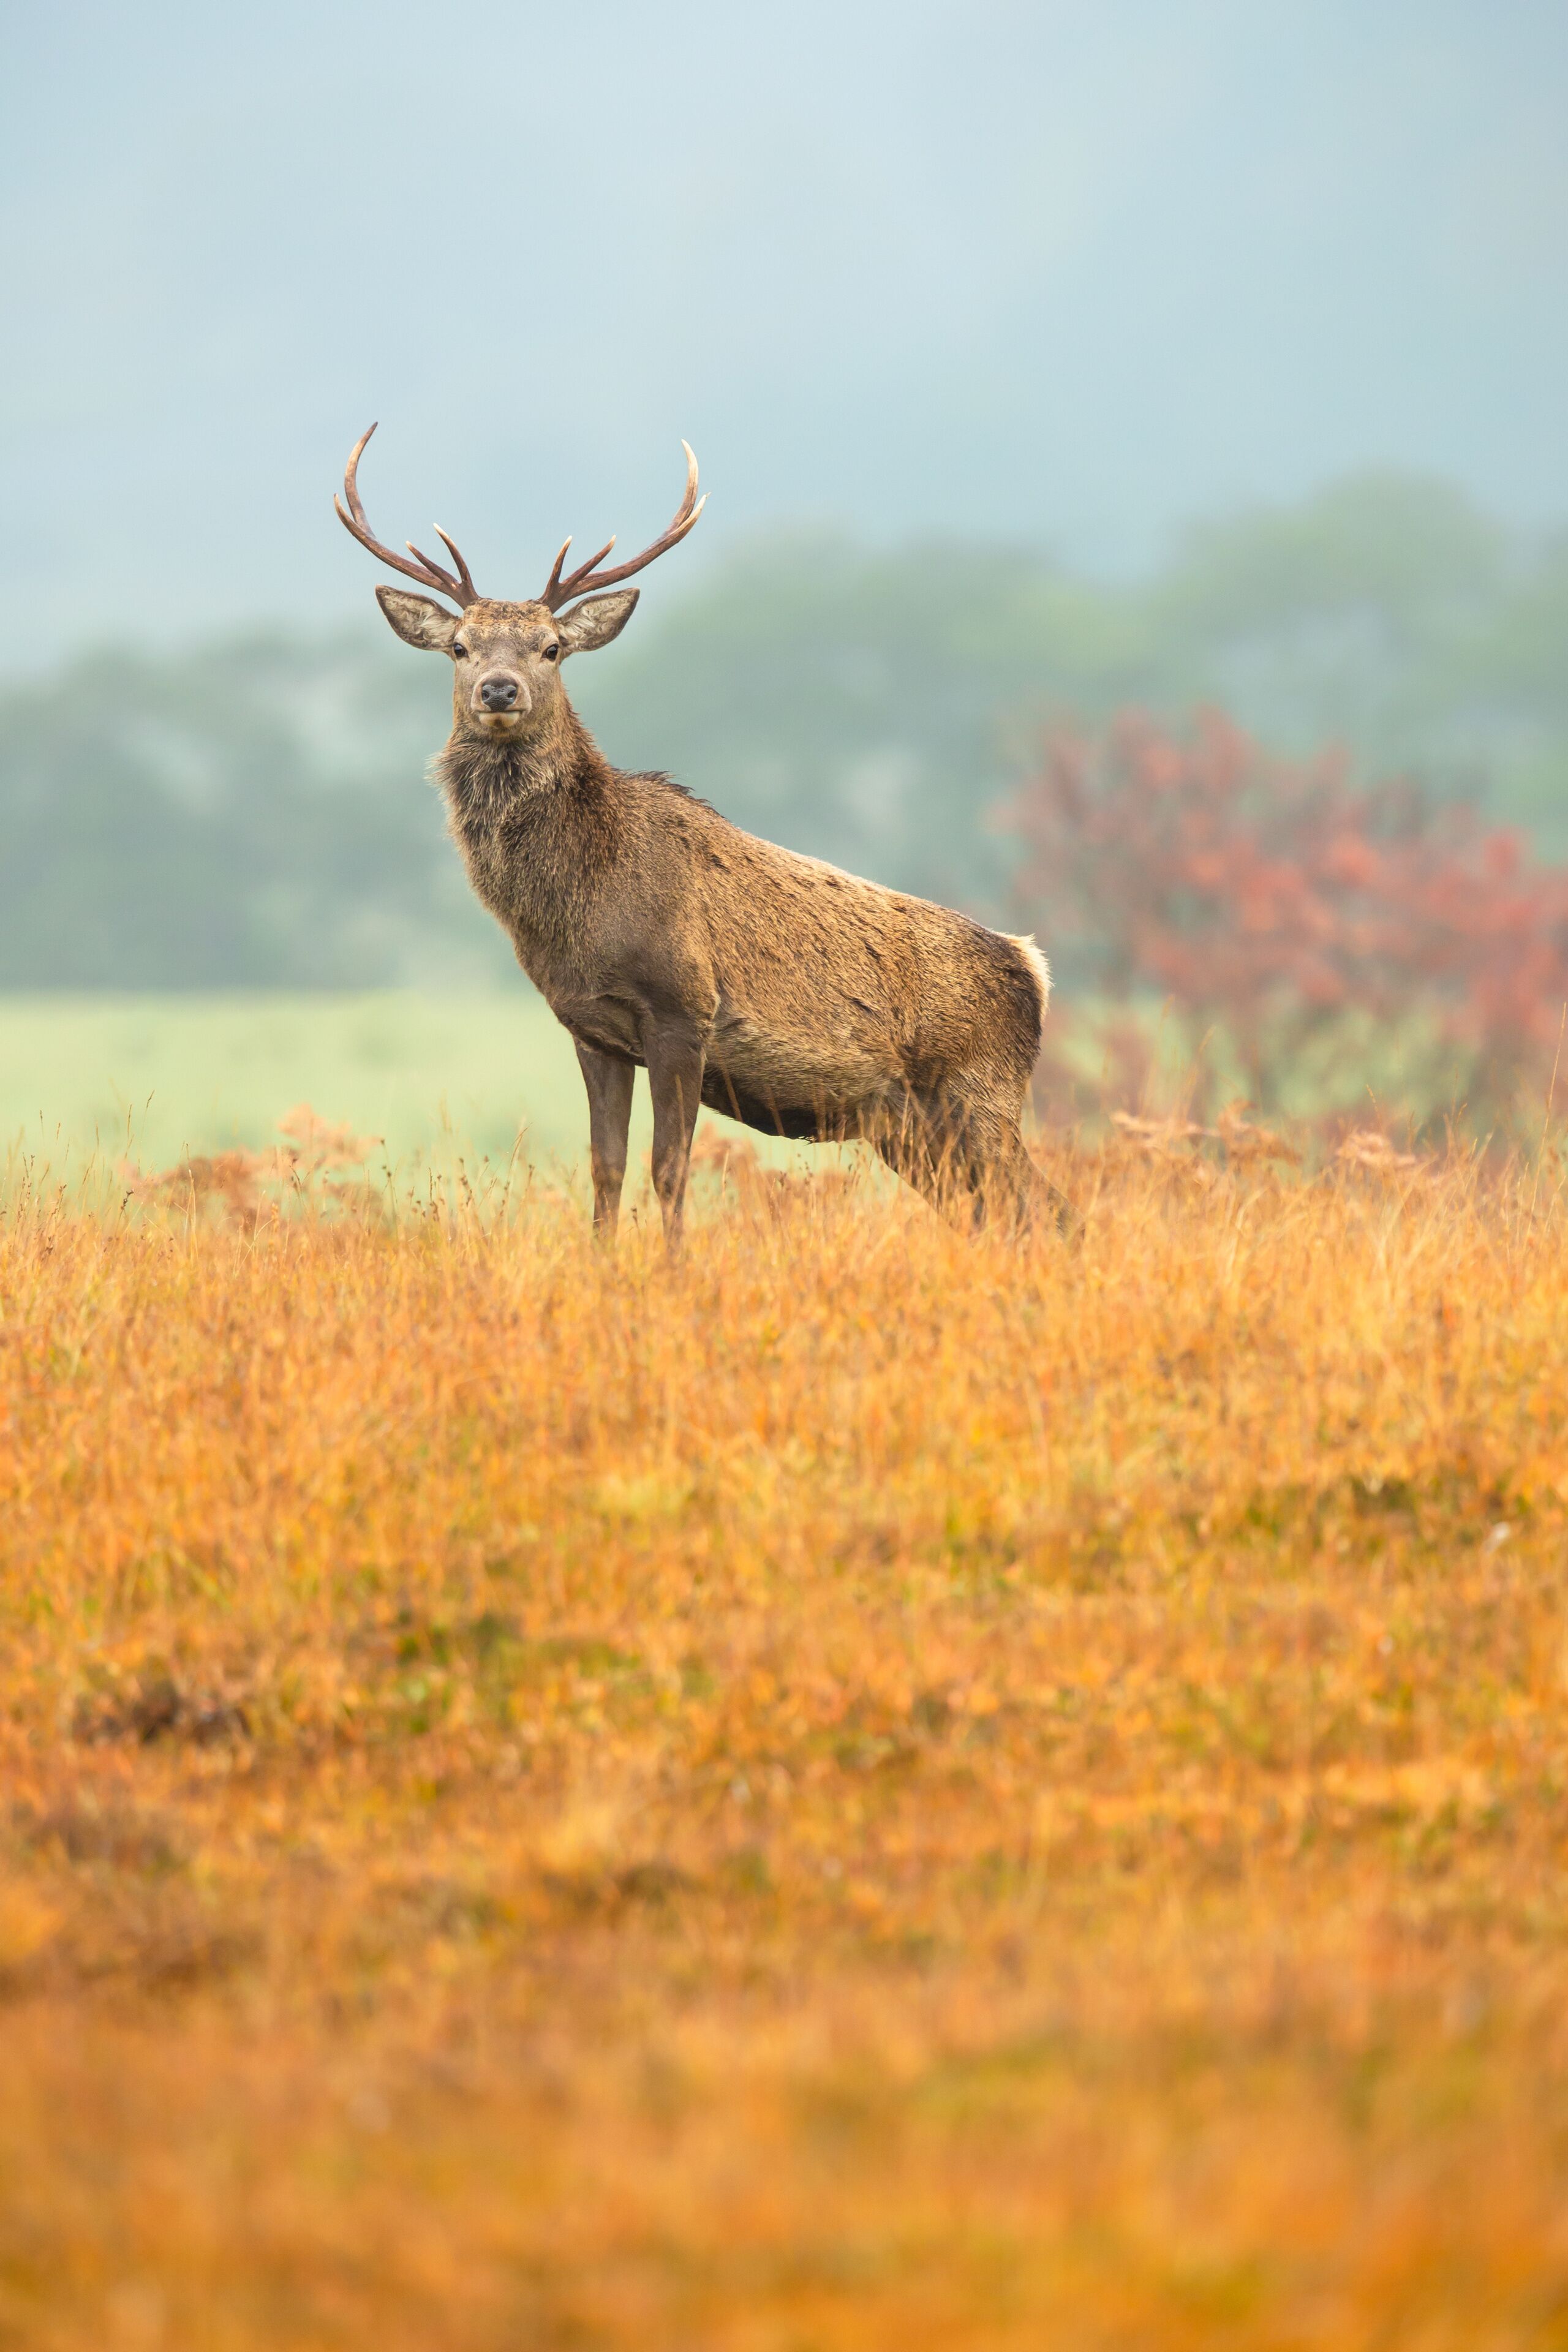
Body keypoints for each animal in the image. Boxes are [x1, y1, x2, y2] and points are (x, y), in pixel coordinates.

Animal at [335, 426, 1071, 1246]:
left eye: (551, 647)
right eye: (460, 647)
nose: (500, 689)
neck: (579, 906)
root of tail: (1032, 968)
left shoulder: (685, 1009)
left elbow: (669, 1168)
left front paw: (673, 1265)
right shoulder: (591, 1029)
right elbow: (606, 1168)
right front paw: (604, 1263)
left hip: (980, 1091)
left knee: (1048, 1208)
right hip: (908, 1125)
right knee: (997, 1216)